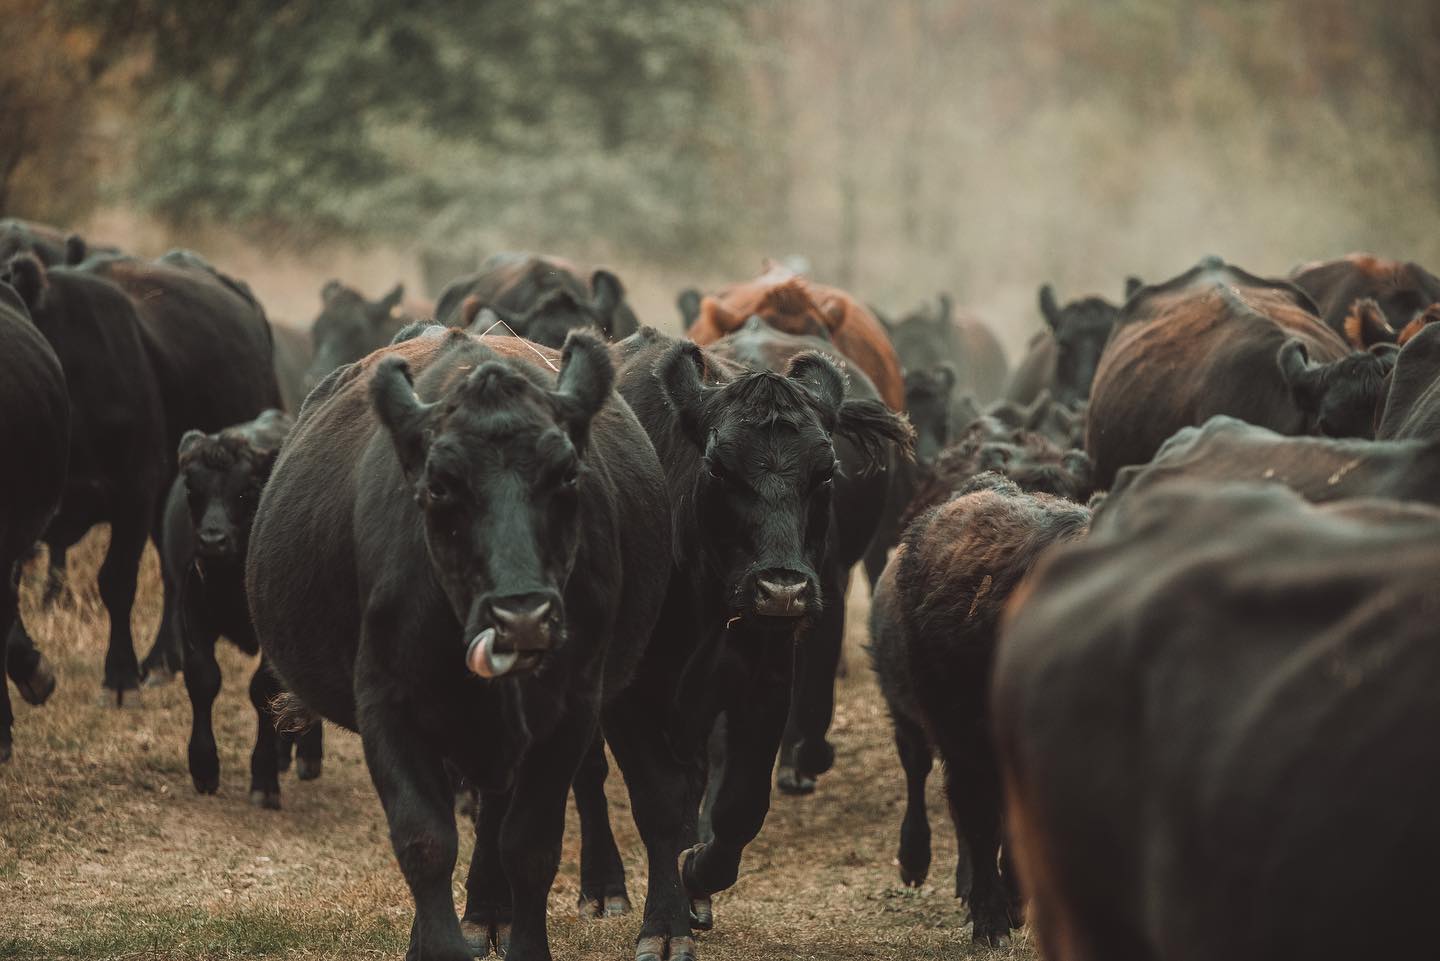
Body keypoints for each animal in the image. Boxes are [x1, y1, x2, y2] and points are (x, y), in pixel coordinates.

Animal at [156, 410, 322, 806]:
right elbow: (203, 678)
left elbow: (262, 690)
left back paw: (307, 756)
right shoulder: (194, 614)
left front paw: (263, 778)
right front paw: (203, 766)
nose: (212, 540)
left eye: (246, 490)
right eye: (193, 490)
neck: (232, 582)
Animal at [247, 327, 685, 961]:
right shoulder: (389, 708)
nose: (522, 618)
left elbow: (530, 846)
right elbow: (425, 841)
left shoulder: (571, 712)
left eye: (567, 475)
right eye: (438, 486)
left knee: (647, 797)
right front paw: (435, 945)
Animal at [869, 473, 1089, 945]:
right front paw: (991, 920)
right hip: (917, 717)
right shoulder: (967, 739)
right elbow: (982, 820)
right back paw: (919, 862)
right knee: (926, 776)